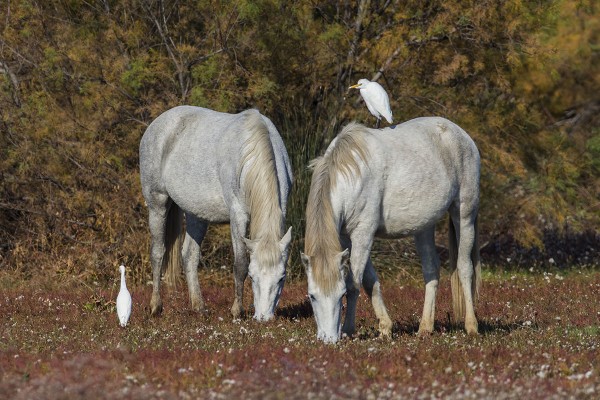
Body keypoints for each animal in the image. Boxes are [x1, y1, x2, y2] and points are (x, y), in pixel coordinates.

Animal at [139, 106, 292, 322]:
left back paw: (199, 306)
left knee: (189, 255)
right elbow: (240, 264)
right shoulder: (238, 215)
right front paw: (237, 311)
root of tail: (156, 124)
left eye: (281, 278)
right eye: (253, 277)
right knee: (158, 252)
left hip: (196, 215)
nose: (264, 317)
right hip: (157, 203)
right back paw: (156, 306)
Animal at [302, 117, 480, 342]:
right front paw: (385, 327)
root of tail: (461, 134)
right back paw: (425, 328)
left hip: (464, 215)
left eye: (340, 295)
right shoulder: (346, 238)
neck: (352, 174)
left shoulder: (363, 234)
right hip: (424, 227)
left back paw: (471, 326)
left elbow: (354, 284)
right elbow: (369, 282)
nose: (329, 339)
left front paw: (349, 330)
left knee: (465, 268)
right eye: (312, 296)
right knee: (431, 269)